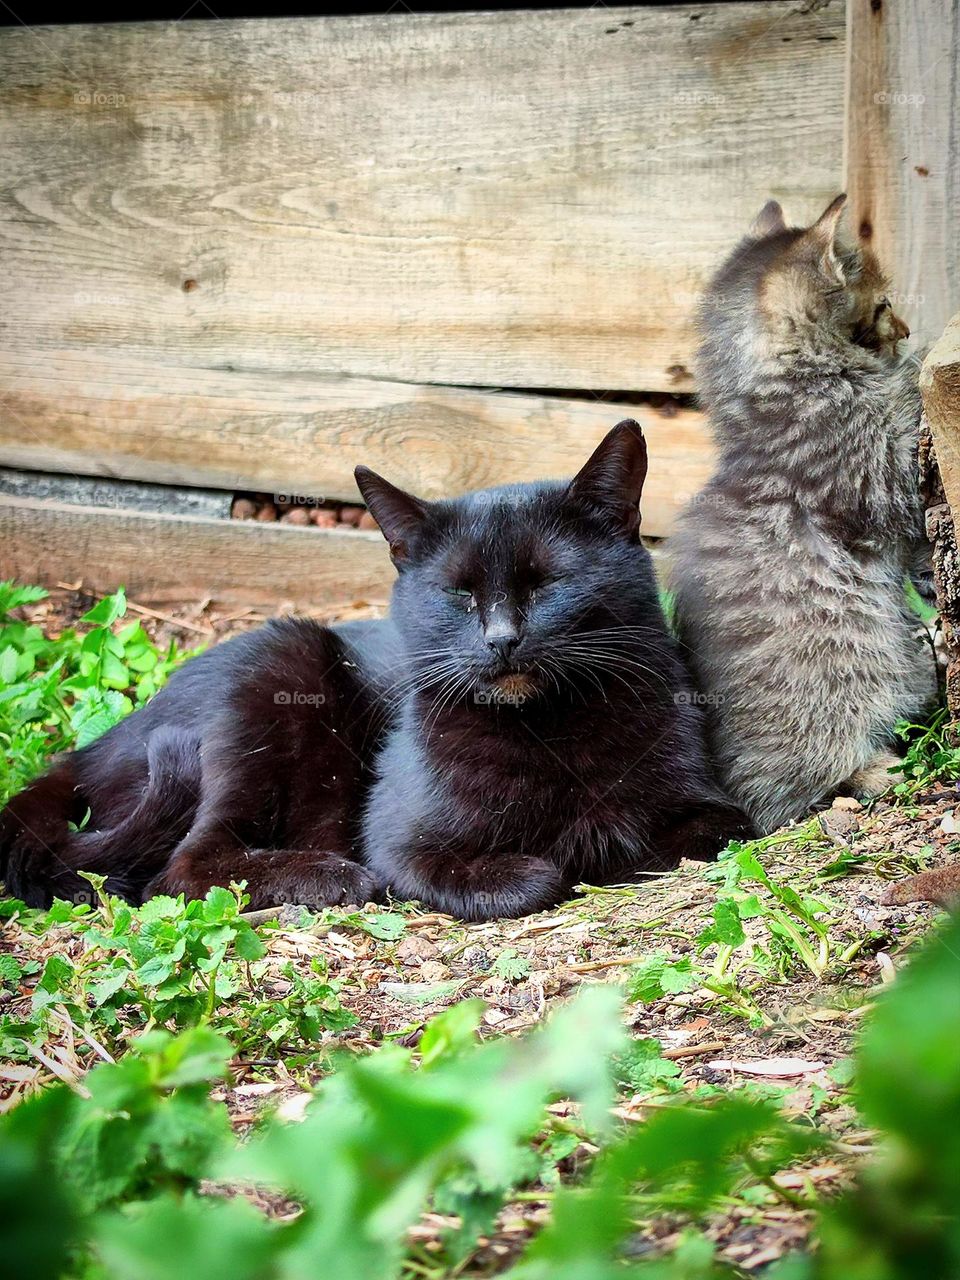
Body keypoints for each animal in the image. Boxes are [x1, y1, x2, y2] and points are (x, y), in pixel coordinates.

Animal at [0, 422, 752, 921]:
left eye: (547, 584)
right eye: (459, 593)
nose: (502, 640)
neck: (548, 728)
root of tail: (99, 744)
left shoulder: (716, 813)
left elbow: (668, 836)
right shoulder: (399, 843)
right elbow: (529, 876)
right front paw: (550, 860)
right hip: (275, 671)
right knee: (181, 868)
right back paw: (328, 877)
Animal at [670, 189, 936, 829]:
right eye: (884, 304)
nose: (906, 329)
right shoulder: (880, 472)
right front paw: (912, 367)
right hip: (837, 685)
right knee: (799, 787)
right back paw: (874, 770)